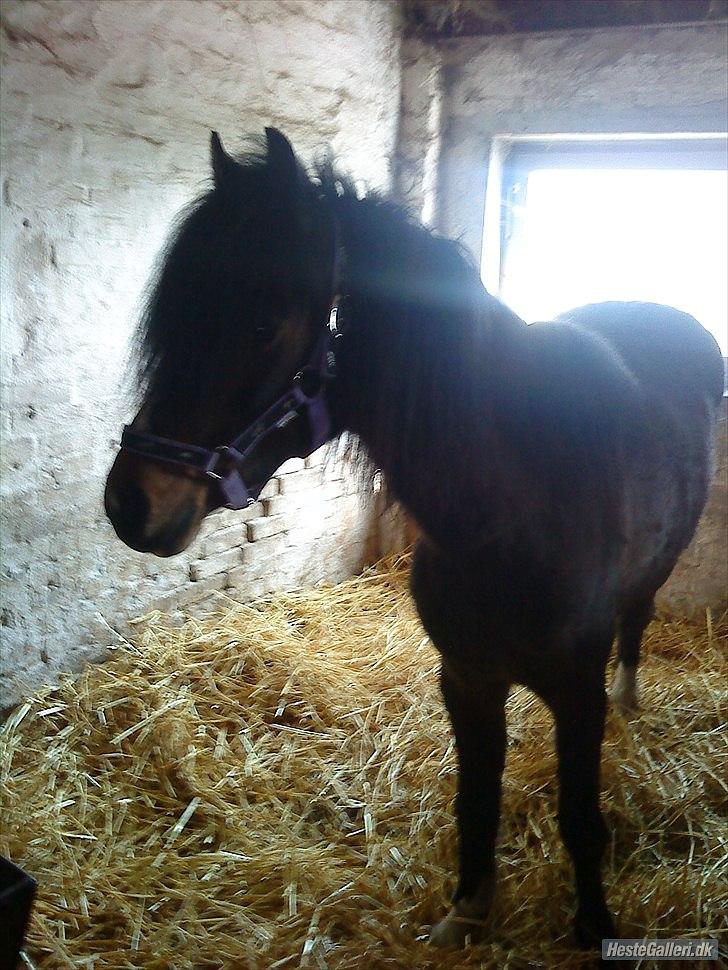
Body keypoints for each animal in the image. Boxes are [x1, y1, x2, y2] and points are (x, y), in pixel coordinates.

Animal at [104, 128, 724, 950]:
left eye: (263, 323)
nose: (129, 503)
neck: (509, 512)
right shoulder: (465, 676)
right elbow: (476, 801)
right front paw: (468, 911)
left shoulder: (574, 690)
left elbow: (581, 821)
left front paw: (593, 926)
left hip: (657, 569)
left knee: (638, 620)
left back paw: (631, 699)